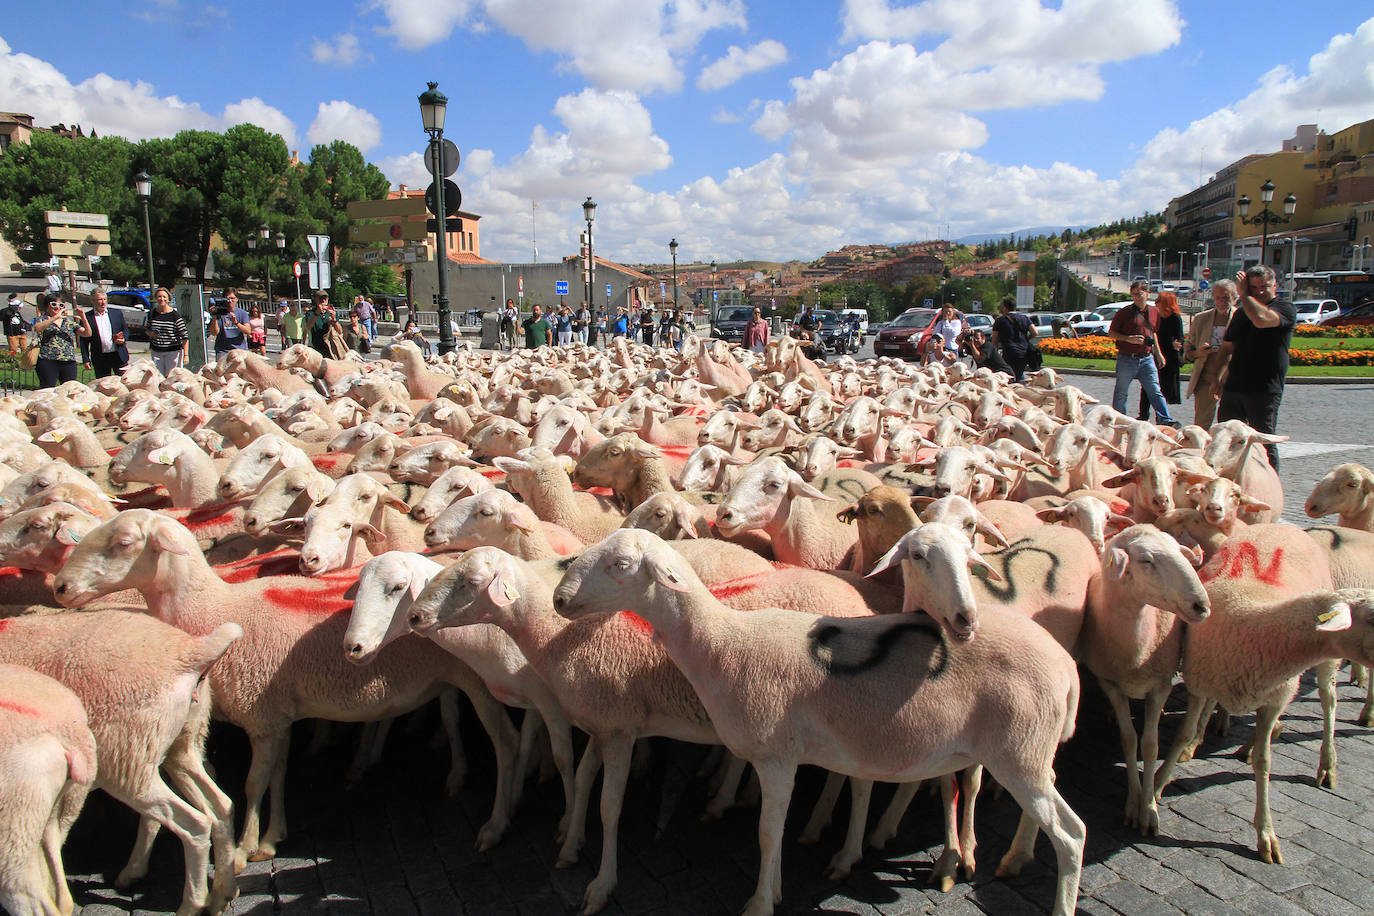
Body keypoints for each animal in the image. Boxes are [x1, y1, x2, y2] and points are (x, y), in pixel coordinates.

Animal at [52, 509, 523, 865]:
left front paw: (244, 848)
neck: (213, 610)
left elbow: (253, 783)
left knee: (505, 741)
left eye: (123, 542)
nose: (60, 586)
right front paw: (271, 836)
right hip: (451, 678)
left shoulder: (259, 715)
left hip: (480, 681)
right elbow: (277, 773)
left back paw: (497, 820)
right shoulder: (277, 715)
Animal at [552, 529, 1086, 916]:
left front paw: (760, 903)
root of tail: (1066, 666)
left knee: (1072, 833)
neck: (721, 643)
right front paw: (777, 889)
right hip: (1031, 752)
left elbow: (769, 833)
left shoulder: (775, 757)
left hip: (1017, 751)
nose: (559, 599)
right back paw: (1014, 858)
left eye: (621, 565)